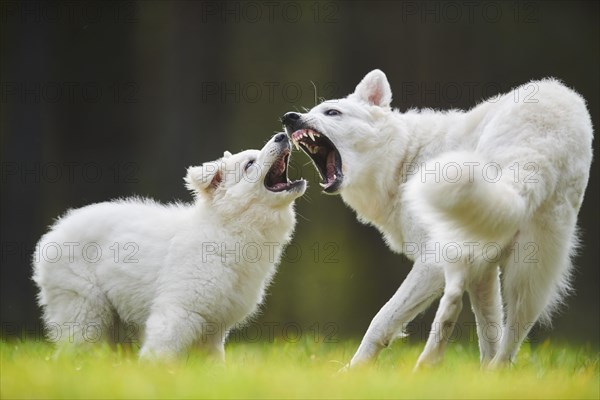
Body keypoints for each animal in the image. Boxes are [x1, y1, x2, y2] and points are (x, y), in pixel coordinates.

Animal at [32, 133, 304, 360]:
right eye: (249, 164)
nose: (282, 135)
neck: (229, 228)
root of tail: (55, 230)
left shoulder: (213, 329)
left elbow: (215, 362)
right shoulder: (178, 311)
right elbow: (162, 350)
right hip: (83, 308)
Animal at [284, 69, 592, 368]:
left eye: (332, 112)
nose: (289, 118)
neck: (405, 159)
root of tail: (544, 138)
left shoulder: (431, 263)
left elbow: (381, 320)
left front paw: (351, 372)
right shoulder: (485, 274)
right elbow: (489, 336)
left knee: (451, 305)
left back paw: (426, 364)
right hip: (529, 275)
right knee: (508, 341)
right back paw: (482, 372)